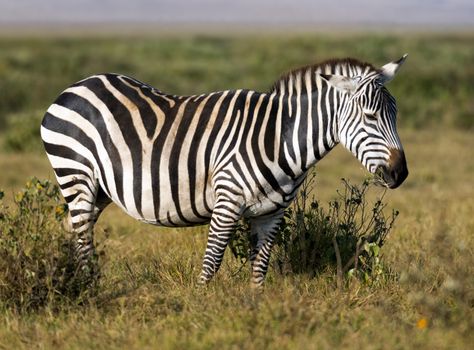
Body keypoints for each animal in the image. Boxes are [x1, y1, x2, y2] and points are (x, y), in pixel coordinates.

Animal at [39, 54, 408, 288]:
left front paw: (254, 310)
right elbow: (212, 262)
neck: (279, 138)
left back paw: (75, 280)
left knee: (74, 230)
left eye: (396, 113)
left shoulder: (272, 214)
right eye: (370, 117)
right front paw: (199, 309)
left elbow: (260, 268)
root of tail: (76, 86)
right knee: (83, 237)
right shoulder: (227, 202)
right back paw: (89, 289)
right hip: (75, 174)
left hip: (99, 189)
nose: (400, 174)